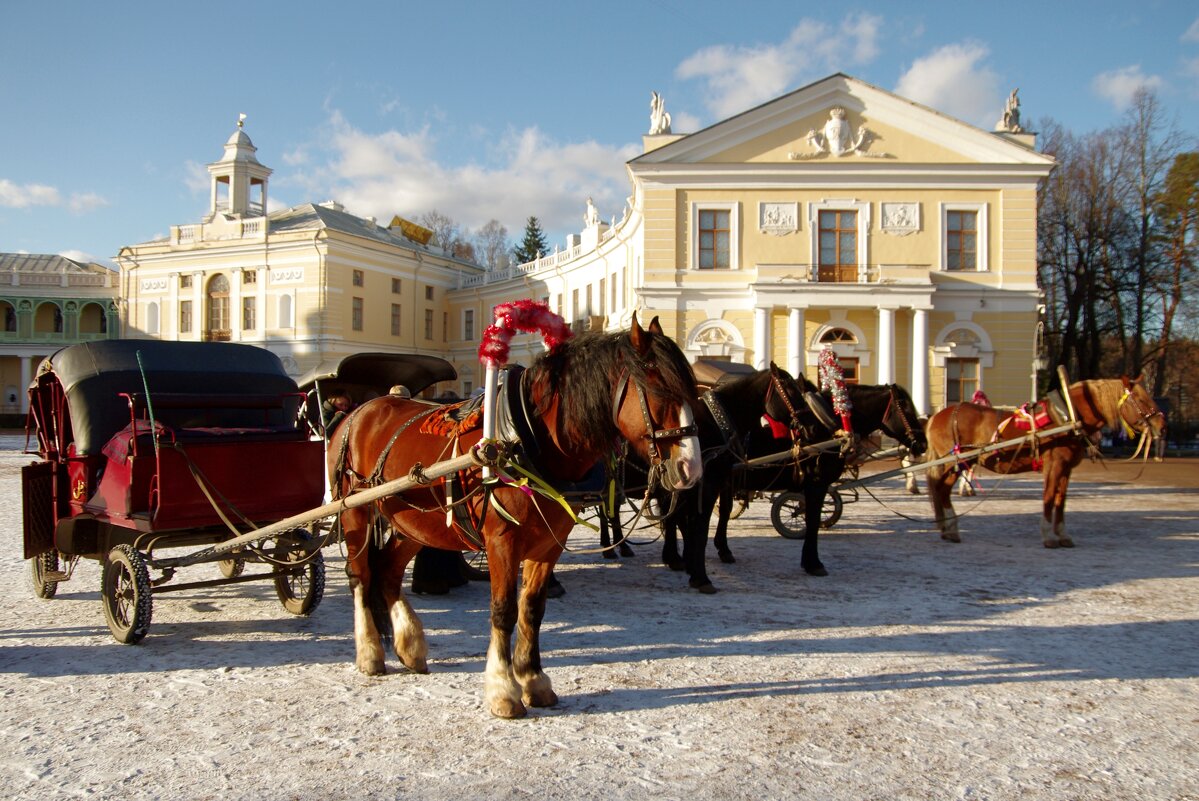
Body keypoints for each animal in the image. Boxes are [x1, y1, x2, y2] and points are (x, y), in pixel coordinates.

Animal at [328, 314, 700, 719]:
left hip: (412, 523)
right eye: (659, 390)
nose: (690, 468)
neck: (529, 440)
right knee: (361, 575)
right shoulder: (502, 541)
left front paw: (533, 680)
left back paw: (409, 646)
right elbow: (504, 610)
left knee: (388, 571)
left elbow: (532, 609)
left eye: (694, 391)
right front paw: (504, 690)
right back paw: (370, 652)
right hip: (355, 513)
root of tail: (360, 411)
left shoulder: (549, 543)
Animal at [920, 378, 1165, 546]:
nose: (1161, 425)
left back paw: (946, 528)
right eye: (1141, 399)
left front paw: (1062, 534)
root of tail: (938, 416)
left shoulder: (1066, 469)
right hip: (955, 462)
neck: (1067, 417)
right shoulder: (1054, 466)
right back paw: (951, 529)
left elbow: (1060, 500)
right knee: (942, 490)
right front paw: (1048, 536)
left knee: (940, 490)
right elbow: (1048, 498)